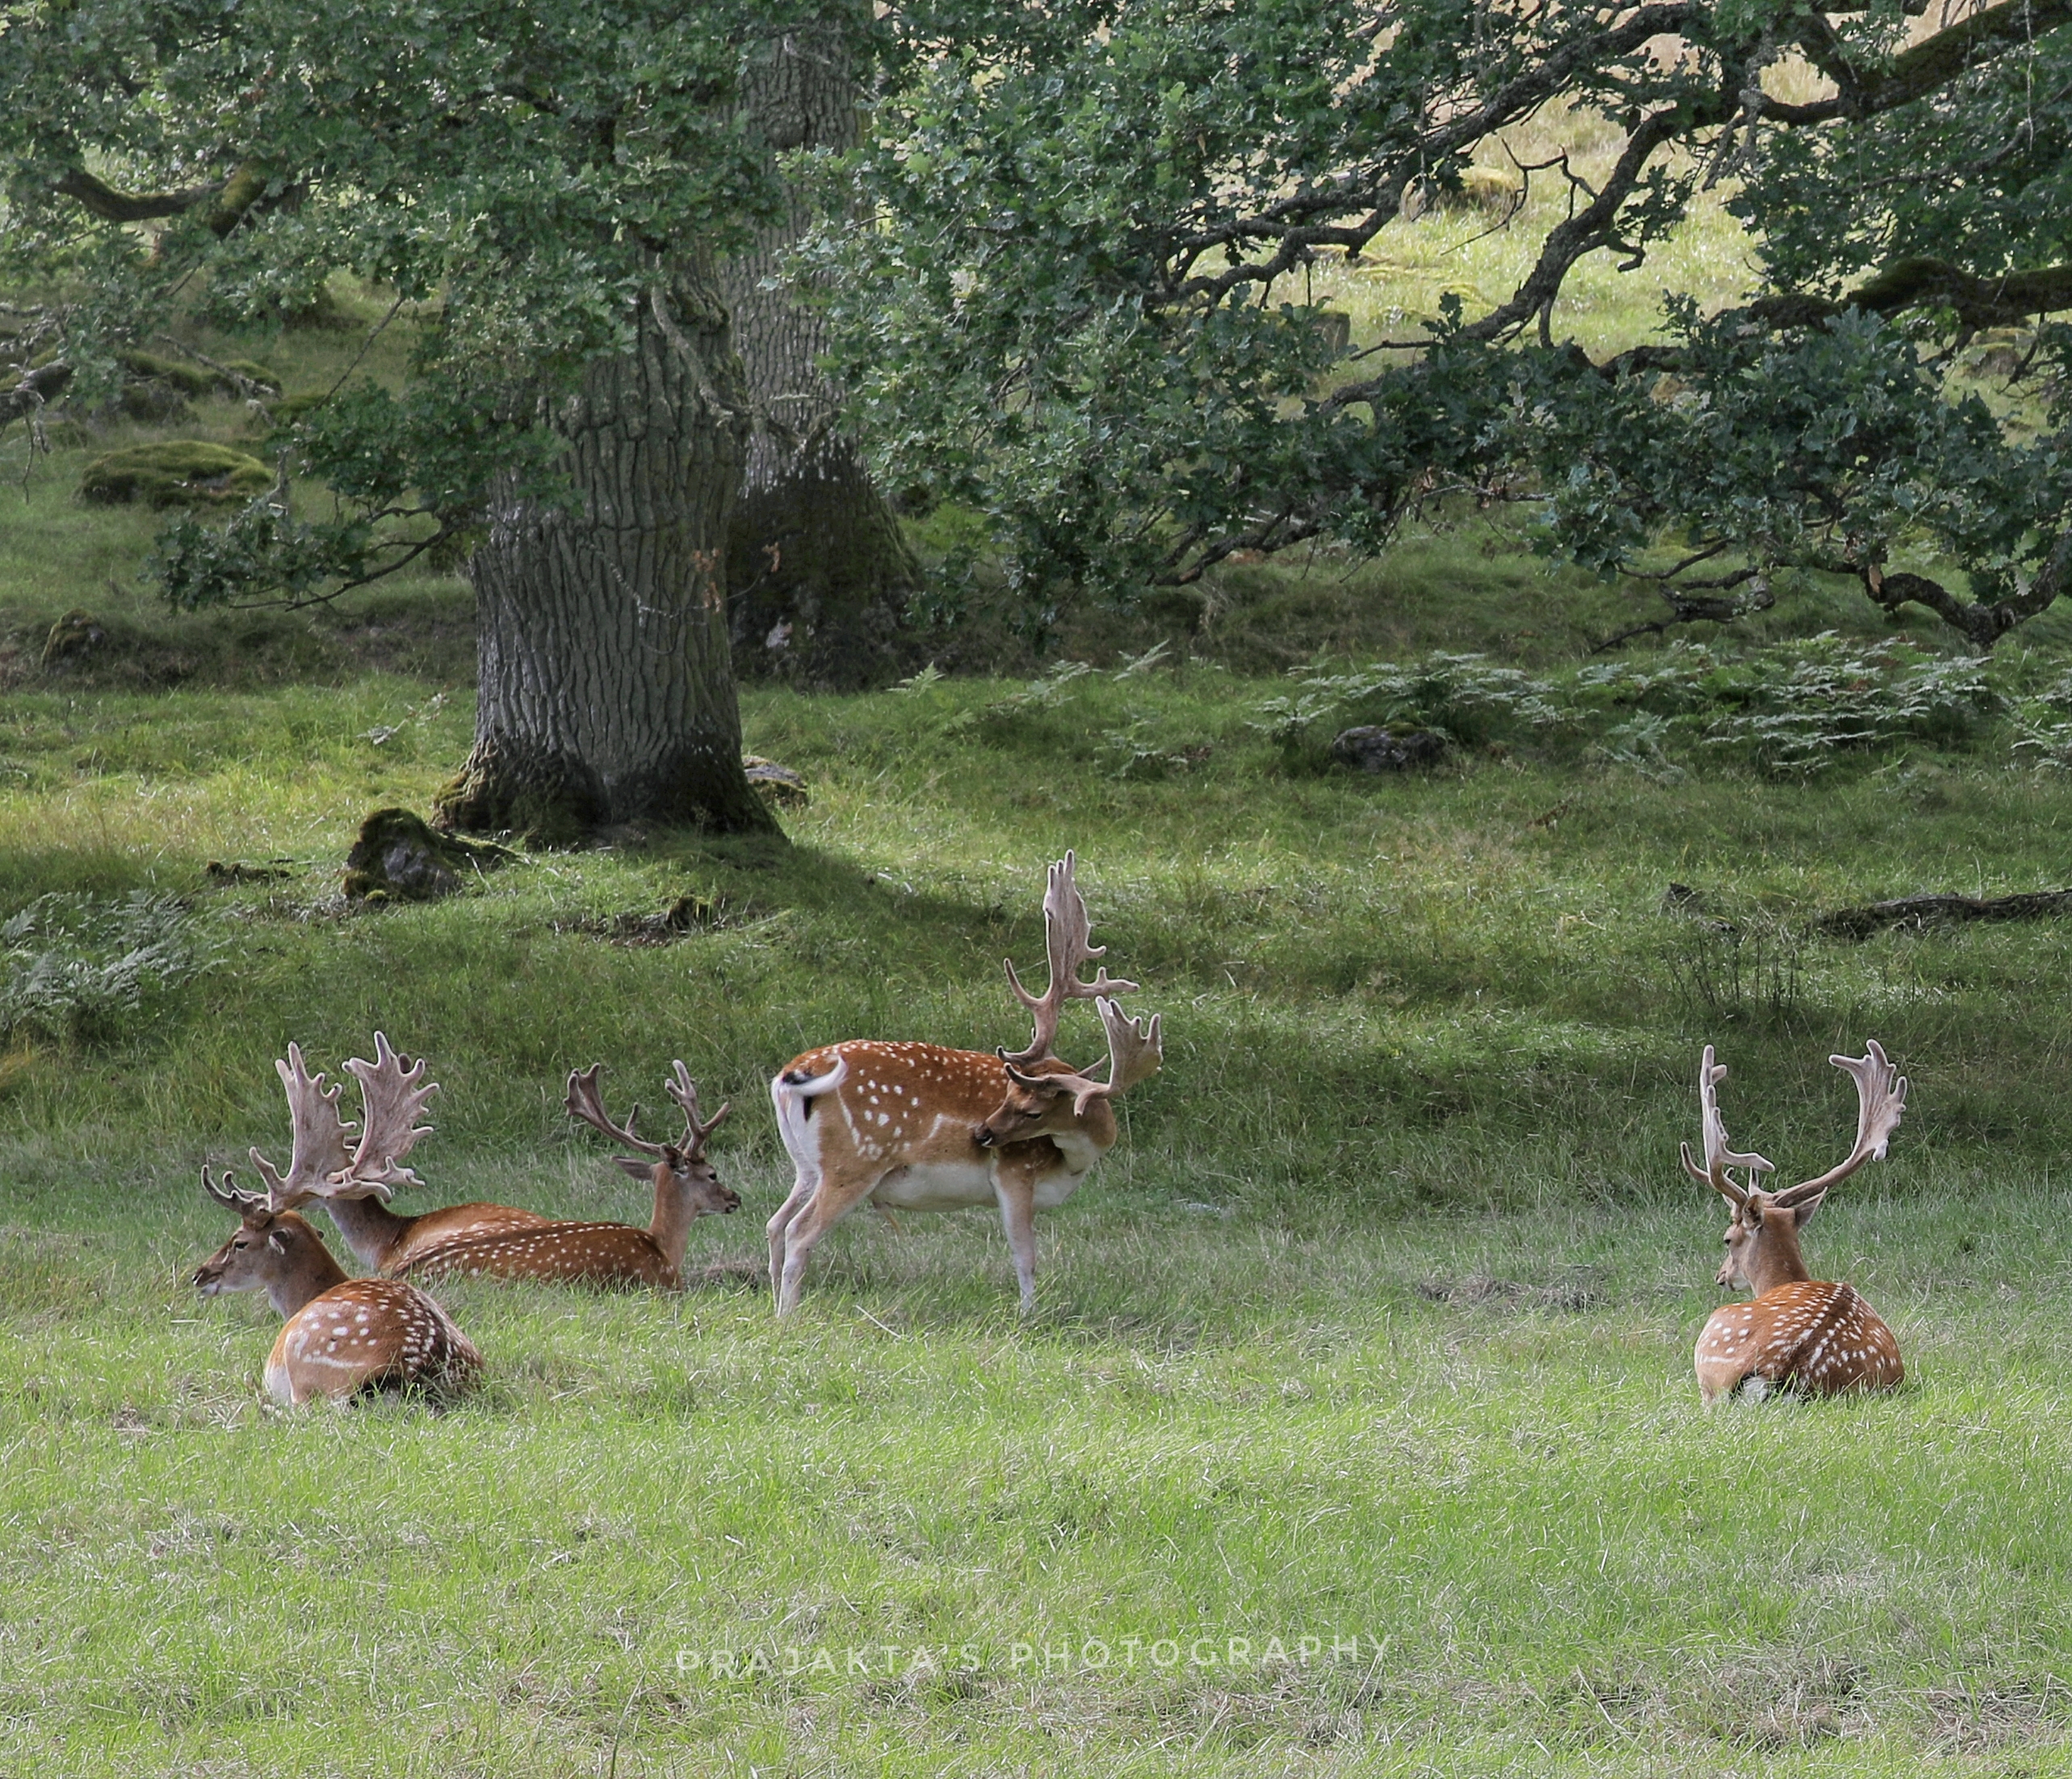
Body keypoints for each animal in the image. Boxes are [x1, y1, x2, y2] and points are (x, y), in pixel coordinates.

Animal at [767, 851, 1162, 1317]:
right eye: (1010, 1096)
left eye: (1028, 1106)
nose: (982, 1134)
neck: (1075, 1161)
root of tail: (790, 1075)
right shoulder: (1014, 1173)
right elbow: (1025, 1256)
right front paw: (1028, 1317)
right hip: (856, 1160)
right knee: (799, 1231)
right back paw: (789, 1317)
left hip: (807, 1165)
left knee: (775, 1224)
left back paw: (773, 1310)